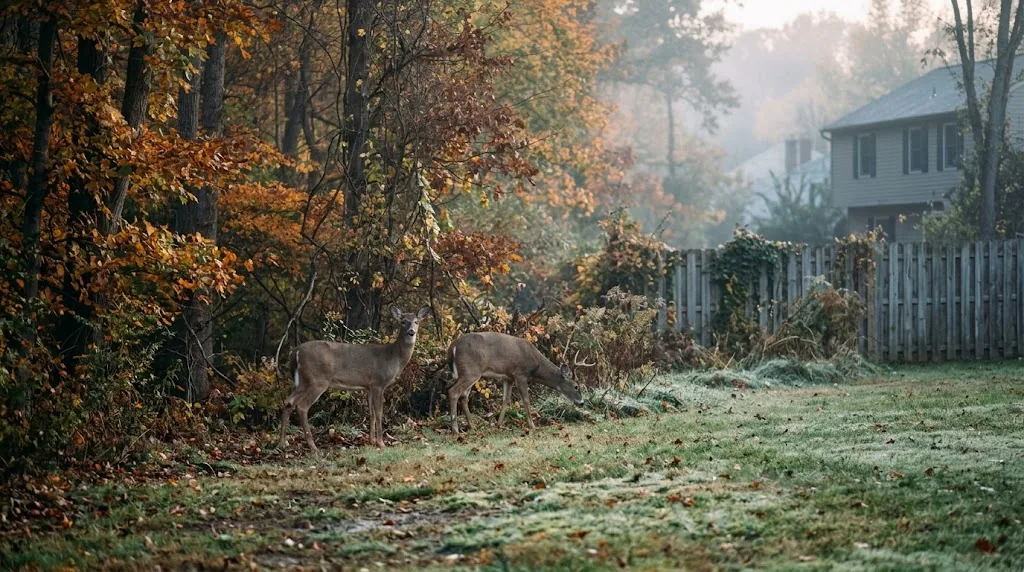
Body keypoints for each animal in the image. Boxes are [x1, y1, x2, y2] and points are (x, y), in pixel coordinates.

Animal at [278, 306, 430, 453]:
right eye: (403, 322)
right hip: (318, 381)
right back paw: (313, 447)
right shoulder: (378, 382)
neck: (393, 357)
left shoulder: (369, 386)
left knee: (288, 402)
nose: (411, 332)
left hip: (303, 382)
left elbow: (371, 413)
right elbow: (379, 413)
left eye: (416, 322)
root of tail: (295, 352)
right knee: (302, 406)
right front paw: (381, 443)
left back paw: (283, 443)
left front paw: (372, 441)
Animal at [446, 331, 593, 434]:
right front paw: (533, 426)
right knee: (453, 392)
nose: (582, 403)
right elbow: (526, 400)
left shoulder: (508, 377)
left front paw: (499, 424)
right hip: (471, 371)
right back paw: (456, 430)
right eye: (576, 386)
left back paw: (472, 426)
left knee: (463, 396)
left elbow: (506, 399)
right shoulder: (521, 374)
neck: (536, 366)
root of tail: (453, 347)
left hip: (469, 373)